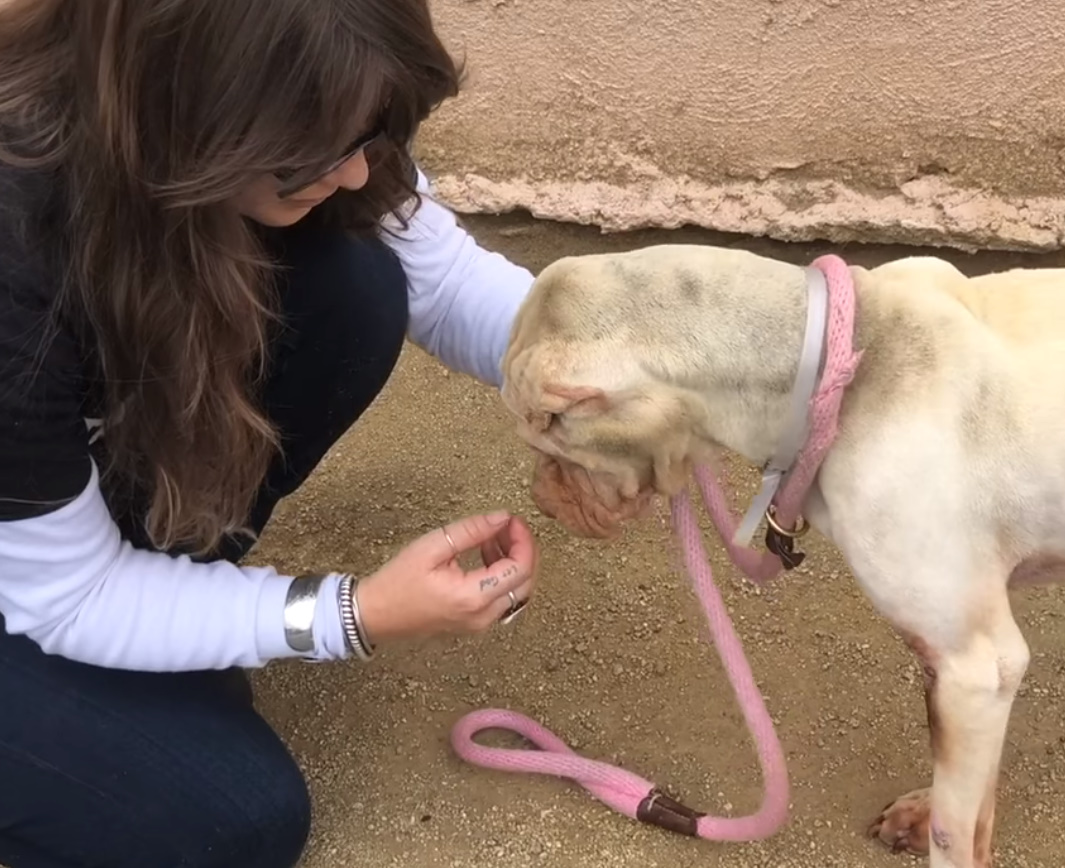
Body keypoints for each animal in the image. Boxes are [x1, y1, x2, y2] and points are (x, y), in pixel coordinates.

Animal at [498, 244, 1065, 868]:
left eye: (547, 436)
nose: (541, 501)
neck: (855, 361)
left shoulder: (973, 665)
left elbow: (957, 831)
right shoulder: (981, 667)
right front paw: (928, 808)